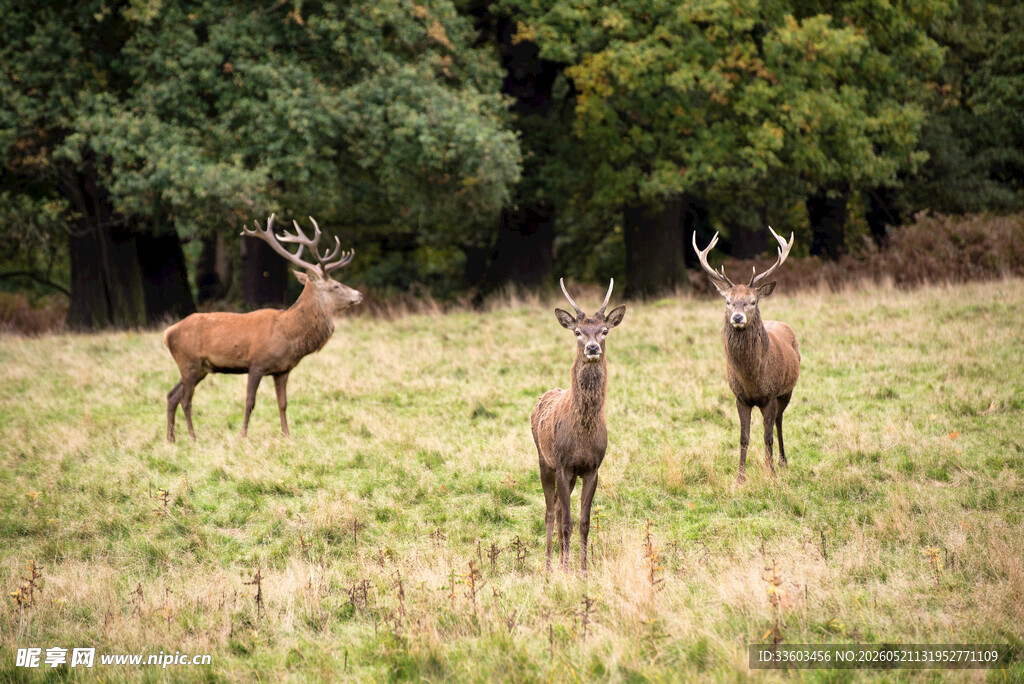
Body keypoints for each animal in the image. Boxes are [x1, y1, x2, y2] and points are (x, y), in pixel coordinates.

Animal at [164, 214, 362, 442]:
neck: (287, 333)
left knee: (172, 395)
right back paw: (193, 437)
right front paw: (242, 435)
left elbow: (283, 403)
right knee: (185, 400)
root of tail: (168, 334)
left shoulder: (283, 370)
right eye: (336, 285)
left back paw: (171, 439)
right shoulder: (256, 363)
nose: (359, 294)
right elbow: (250, 402)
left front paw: (286, 435)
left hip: (200, 368)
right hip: (189, 361)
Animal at [531, 278, 626, 573]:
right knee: (551, 511)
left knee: (559, 508)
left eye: (604, 330)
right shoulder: (563, 464)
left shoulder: (592, 468)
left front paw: (582, 570)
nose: (592, 348)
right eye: (577, 332)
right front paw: (565, 570)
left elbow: (583, 522)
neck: (582, 436)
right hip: (544, 460)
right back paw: (550, 565)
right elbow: (566, 522)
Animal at [692, 227, 800, 484]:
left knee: (779, 422)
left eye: (752, 301)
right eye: (728, 301)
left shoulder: (770, 395)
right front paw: (740, 477)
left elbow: (767, 436)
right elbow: (744, 437)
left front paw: (770, 473)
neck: (752, 379)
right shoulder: (740, 397)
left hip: (787, 390)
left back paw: (783, 461)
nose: (738, 317)